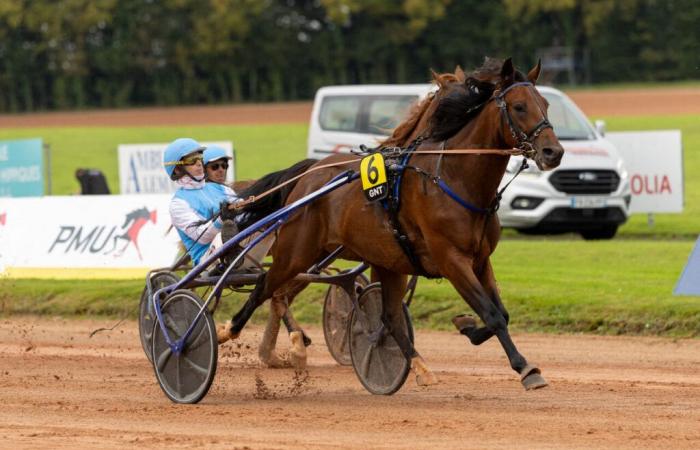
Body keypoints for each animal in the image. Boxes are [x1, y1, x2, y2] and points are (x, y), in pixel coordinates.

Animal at [223, 59, 564, 390]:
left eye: (546, 104)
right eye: (519, 106)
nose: (554, 152)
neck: (453, 178)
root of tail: (308, 176)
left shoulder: (479, 260)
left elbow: (500, 312)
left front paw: (466, 325)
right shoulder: (451, 260)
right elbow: (492, 314)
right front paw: (526, 368)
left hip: (381, 261)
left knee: (387, 316)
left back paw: (418, 367)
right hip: (297, 253)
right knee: (265, 287)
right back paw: (230, 331)